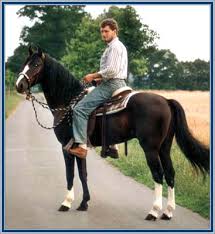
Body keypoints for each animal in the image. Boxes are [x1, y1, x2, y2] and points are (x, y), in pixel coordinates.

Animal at [15, 48, 210, 221]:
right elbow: (83, 173)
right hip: (164, 147)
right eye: (25, 63)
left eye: (36, 64)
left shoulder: (66, 146)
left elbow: (70, 174)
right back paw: (168, 212)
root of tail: (166, 100)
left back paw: (154, 212)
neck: (68, 102)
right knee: (170, 173)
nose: (19, 85)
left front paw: (66, 203)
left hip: (150, 148)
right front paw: (84, 203)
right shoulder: (79, 148)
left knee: (158, 174)